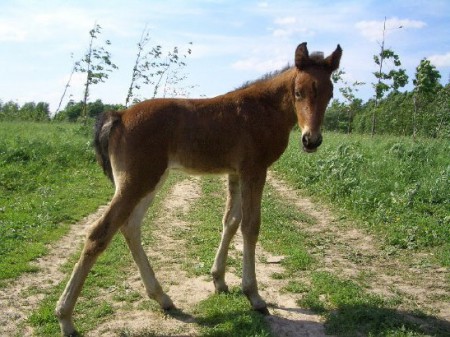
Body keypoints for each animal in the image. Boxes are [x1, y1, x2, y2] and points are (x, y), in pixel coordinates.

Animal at [57, 41, 342, 334]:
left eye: (330, 94)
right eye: (298, 92)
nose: (311, 140)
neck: (263, 109)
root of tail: (120, 116)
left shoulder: (235, 173)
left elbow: (231, 221)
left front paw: (219, 280)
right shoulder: (254, 170)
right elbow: (250, 226)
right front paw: (254, 295)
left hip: (150, 180)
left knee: (130, 226)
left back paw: (162, 297)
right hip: (137, 181)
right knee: (99, 233)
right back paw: (65, 317)